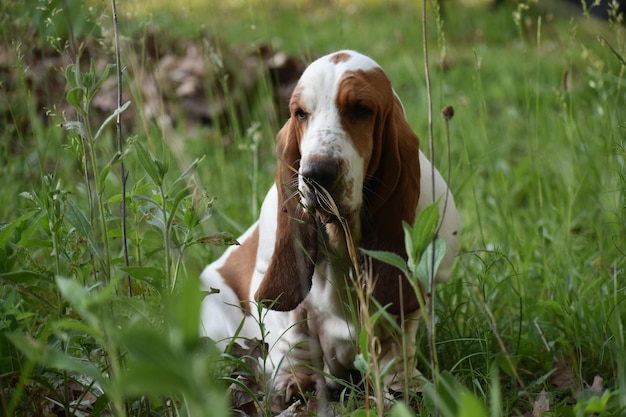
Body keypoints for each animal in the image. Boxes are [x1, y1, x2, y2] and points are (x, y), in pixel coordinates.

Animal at [200, 49, 458, 404]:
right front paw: (297, 384)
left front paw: (402, 385)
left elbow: (395, 341)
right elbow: (294, 337)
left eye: (361, 110)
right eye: (300, 113)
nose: (316, 175)